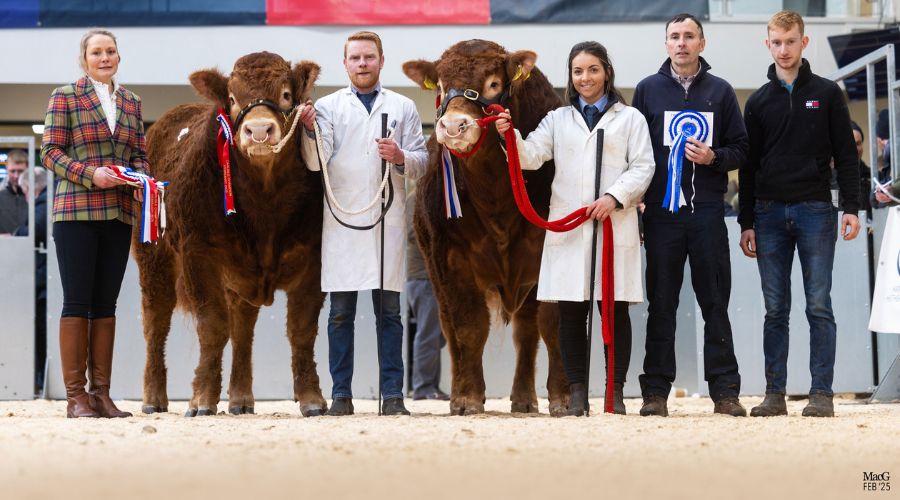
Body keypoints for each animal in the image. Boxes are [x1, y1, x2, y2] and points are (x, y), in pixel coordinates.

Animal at [137, 52, 326, 416]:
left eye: (286, 94)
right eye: (234, 99)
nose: (259, 130)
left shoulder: (315, 257)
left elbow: (302, 328)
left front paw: (312, 399)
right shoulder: (199, 253)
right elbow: (212, 326)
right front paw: (202, 400)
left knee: (242, 327)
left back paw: (240, 398)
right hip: (154, 258)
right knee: (156, 320)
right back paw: (153, 398)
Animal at [402, 39, 568, 416]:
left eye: (493, 83)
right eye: (442, 84)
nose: (454, 126)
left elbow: (552, 323)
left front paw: (563, 397)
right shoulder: (451, 260)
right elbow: (468, 327)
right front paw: (467, 398)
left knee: (527, 331)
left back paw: (524, 398)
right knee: (451, 331)